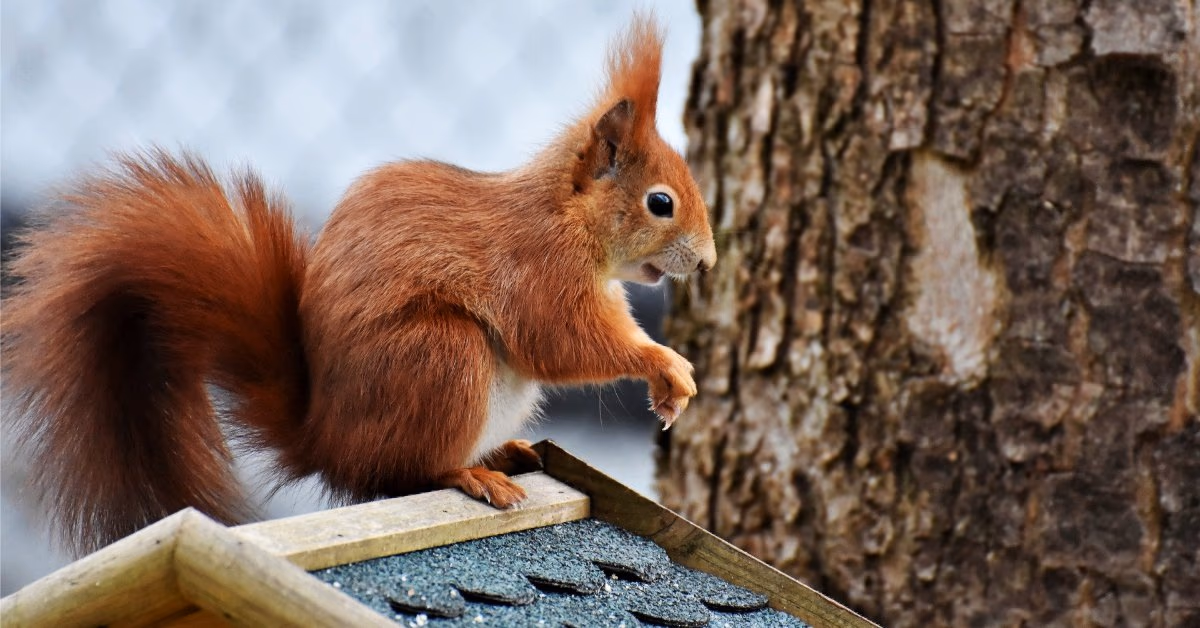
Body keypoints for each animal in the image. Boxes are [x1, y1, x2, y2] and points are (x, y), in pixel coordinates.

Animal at [1, 13, 716, 555]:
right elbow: (563, 341)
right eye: (660, 203)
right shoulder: (539, 269)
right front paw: (667, 367)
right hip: (442, 355)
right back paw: (473, 474)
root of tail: (325, 441)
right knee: (402, 473)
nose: (708, 262)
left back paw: (506, 453)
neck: (569, 218)